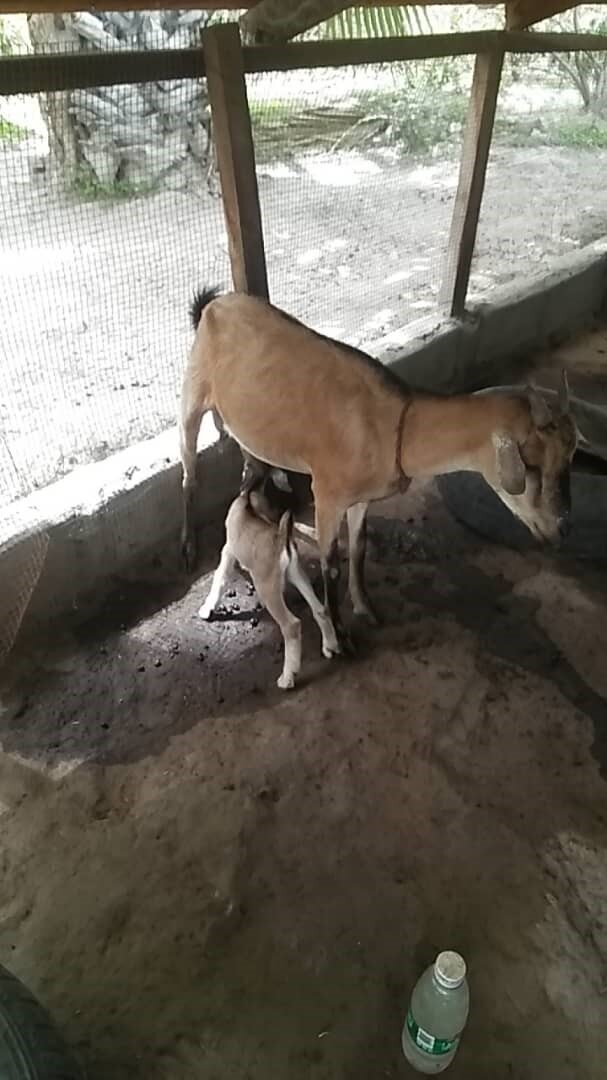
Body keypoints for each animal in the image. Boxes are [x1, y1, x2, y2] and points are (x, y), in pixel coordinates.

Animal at [177, 287, 574, 648]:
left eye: (570, 458)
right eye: (531, 463)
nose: (561, 528)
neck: (397, 427)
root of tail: (213, 304)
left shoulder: (360, 499)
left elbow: (359, 549)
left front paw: (366, 608)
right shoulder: (327, 493)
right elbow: (331, 564)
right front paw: (341, 635)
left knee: (248, 469)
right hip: (192, 397)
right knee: (189, 474)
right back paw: (189, 547)